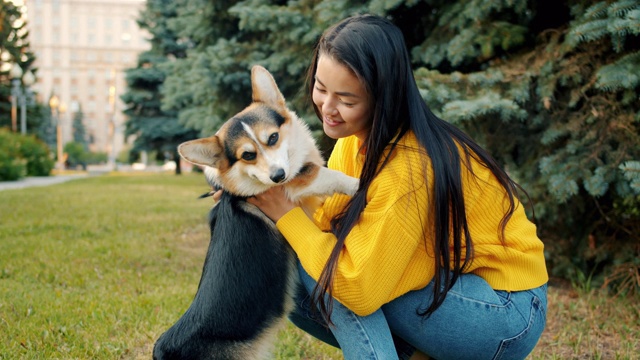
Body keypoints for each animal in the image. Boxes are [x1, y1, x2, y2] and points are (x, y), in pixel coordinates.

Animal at [152, 65, 358, 360]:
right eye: (247, 155)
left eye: (273, 138)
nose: (277, 175)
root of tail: (161, 351)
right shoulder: (293, 186)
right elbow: (322, 173)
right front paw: (359, 184)